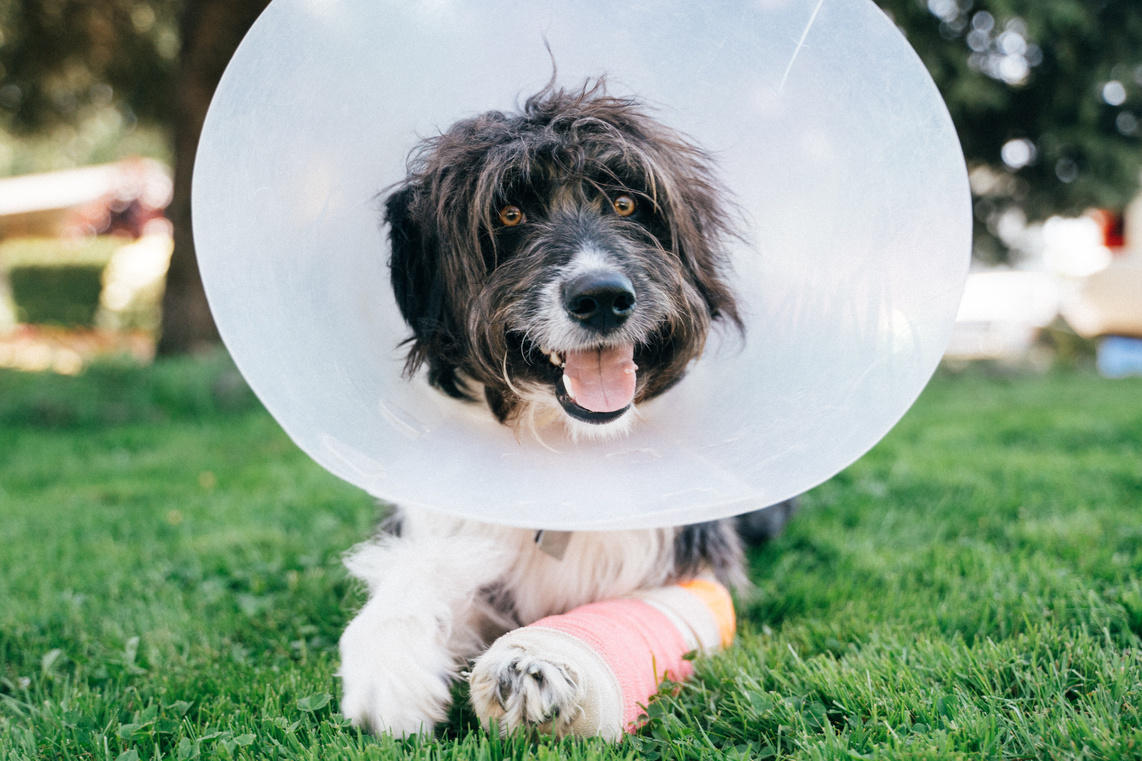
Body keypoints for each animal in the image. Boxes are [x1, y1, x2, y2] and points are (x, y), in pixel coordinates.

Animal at [338, 81, 767, 735]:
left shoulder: (692, 562)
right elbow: (423, 567)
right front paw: (391, 664)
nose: (603, 297)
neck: (565, 444)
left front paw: (537, 661)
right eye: (508, 214)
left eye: (627, 204)